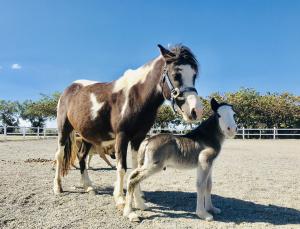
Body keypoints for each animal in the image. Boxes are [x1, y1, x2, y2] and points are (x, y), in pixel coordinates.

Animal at [54, 43, 204, 208]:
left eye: (194, 76)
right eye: (176, 74)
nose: (196, 111)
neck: (135, 96)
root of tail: (70, 89)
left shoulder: (138, 138)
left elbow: (136, 168)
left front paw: (138, 200)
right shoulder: (122, 136)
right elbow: (122, 168)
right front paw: (120, 198)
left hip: (87, 136)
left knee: (81, 157)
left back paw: (89, 187)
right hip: (64, 130)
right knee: (59, 155)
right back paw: (58, 187)